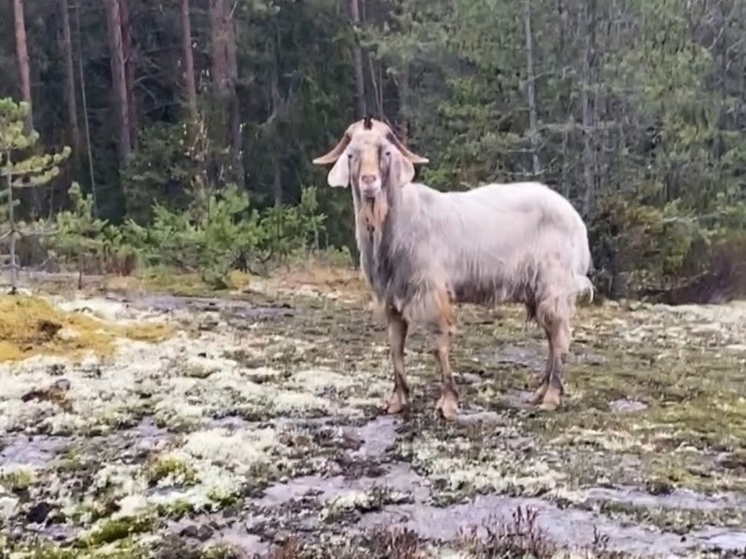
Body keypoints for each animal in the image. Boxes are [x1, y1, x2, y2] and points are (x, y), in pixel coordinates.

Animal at [312, 116, 592, 418]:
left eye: (385, 152)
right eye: (351, 155)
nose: (368, 182)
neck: (401, 219)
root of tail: (576, 220)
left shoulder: (431, 289)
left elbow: (439, 345)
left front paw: (448, 401)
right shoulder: (392, 297)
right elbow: (396, 347)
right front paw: (398, 400)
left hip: (555, 282)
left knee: (561, 336)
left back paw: (552, 396)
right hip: (537, 289)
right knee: (551, 335)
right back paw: (540, 392)